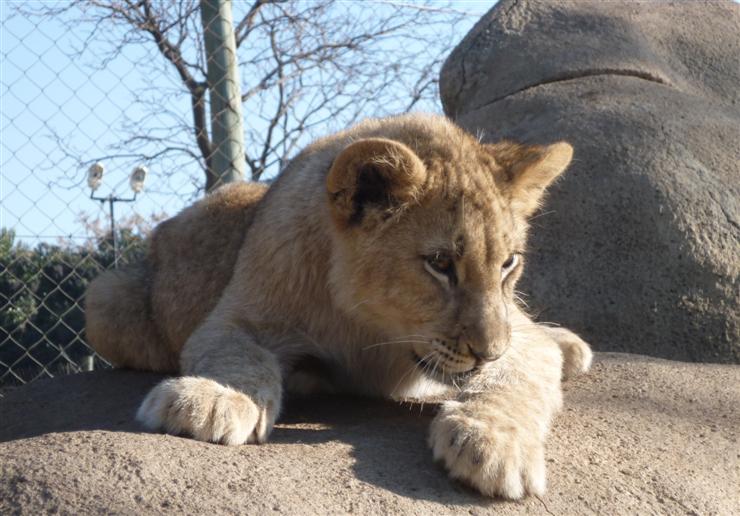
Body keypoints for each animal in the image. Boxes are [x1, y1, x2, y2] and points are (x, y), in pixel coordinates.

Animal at [85, 113, 592, 499]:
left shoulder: (516, 339)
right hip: (103, 298)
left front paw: (495, 442)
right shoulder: (232, 318)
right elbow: (239, 357)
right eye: (440, 263)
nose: (488, 353)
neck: (370, 327)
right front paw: (213, 399)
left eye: (508, 263)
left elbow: (520, 376)